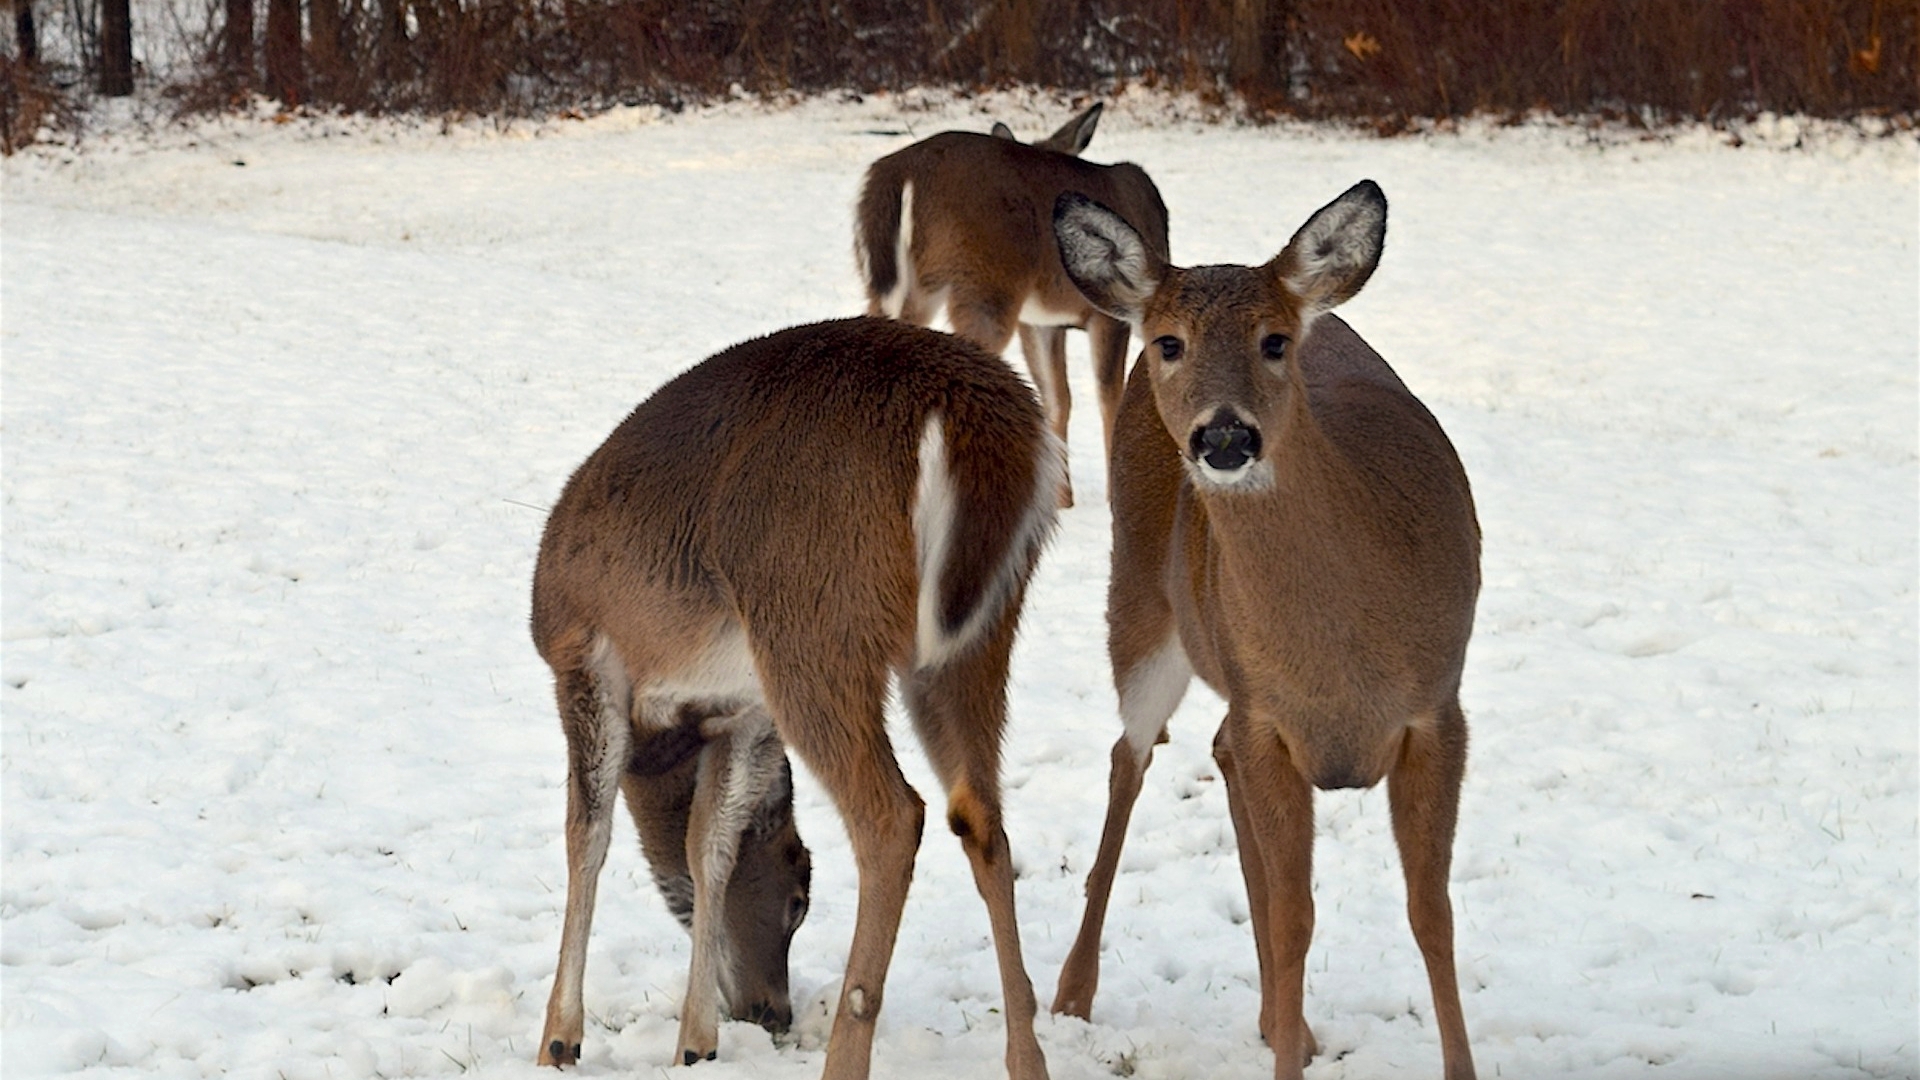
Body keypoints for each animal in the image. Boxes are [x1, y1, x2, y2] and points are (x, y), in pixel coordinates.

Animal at [529, 315, 1067, 1068]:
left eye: (800, 901)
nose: (769, 1012)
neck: (665, 738)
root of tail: (973, 421)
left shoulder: (581, 655)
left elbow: (589, 833)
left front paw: (559, 1037)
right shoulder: (745, 708)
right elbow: (709, 844)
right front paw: (695, 1044)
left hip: (812, 618)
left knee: (893, 815)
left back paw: (845, 1055)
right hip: (976, 636)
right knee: (980, 815)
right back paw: (1027, 1060)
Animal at [856, 101, 1167, 503]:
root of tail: (904, 174)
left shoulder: (1040, 320)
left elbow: (1058, 398)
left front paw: (1063, 497)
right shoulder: (1110, 314)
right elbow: (1109, 395)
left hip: (896, 288)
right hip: (986, 285)